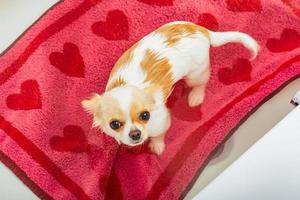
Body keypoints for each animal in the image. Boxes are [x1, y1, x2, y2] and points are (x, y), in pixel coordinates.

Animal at [81, 21, 258, 155]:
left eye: (145, 115)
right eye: (114, 124)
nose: (135, 134)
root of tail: (202, 31)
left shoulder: (161, 121)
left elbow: (158, 134)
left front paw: (157, 145)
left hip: (195, 73)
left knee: (200, 83)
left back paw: (196, 96)